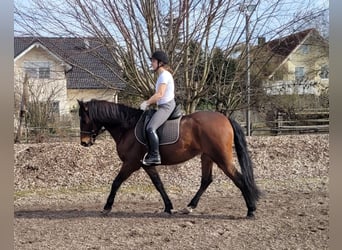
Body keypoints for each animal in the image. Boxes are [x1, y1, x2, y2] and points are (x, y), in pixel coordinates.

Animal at [77, 98, 260, 218]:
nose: (84, 142)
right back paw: (189, 207)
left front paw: (107, 207)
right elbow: (159, 184)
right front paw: (169, 207)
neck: (127, 127)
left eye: (84, 119)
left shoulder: (131, 163)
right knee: (206, 180)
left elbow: (116, 182)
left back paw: (250, 210)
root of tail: (225, 118)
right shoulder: (147, 164)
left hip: (221, 158)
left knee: (239, 179)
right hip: (207, 156)